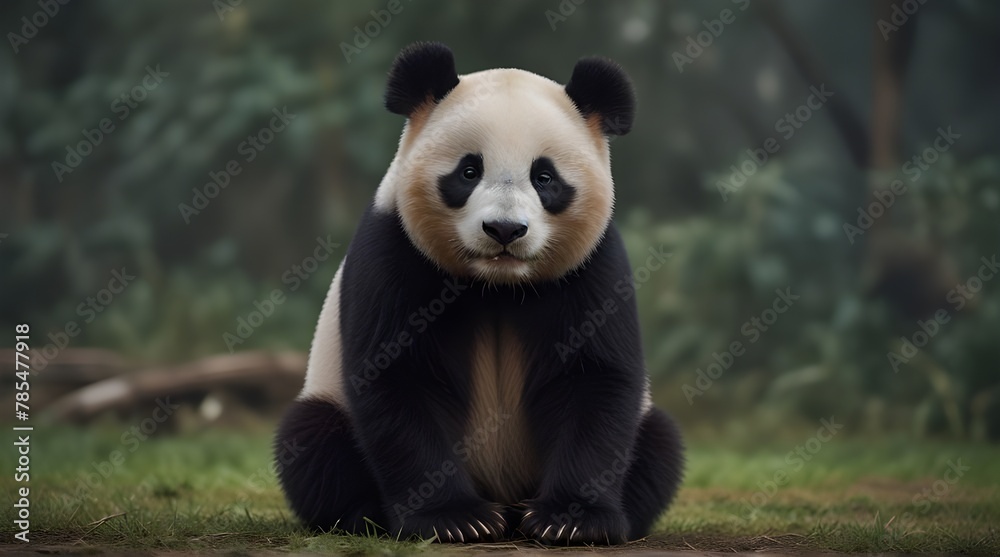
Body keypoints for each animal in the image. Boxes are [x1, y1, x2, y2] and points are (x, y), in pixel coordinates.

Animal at [275, 42, 683, 545]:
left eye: (544, 178)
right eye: (469, 171)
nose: (504, 229)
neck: (498, 285)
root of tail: (506, 495)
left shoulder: (592, 268)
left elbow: (594, 381)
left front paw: (570, 520)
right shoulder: (395, 251)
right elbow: (399, 377)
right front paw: (454, 519)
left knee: (660, 443)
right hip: (327, 403)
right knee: (311, 440)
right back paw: (369, 516)